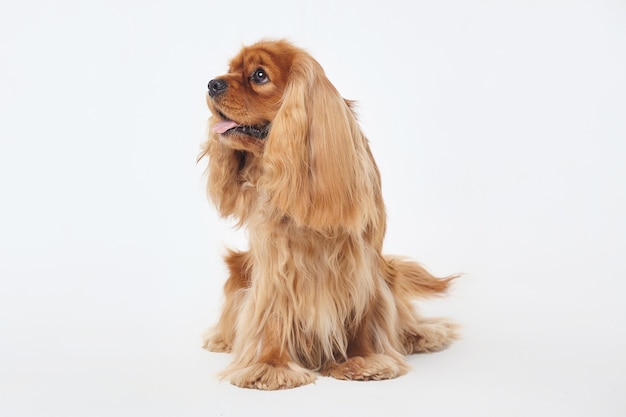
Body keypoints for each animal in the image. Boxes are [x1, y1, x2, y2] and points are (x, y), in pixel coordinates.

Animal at [200, 39, 458, 390]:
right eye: (229, 69)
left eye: (259, 75)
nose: (212, 84)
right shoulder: (275, 265)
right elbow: (272, 315)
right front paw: (269, 365)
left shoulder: (361, 261)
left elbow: (363, 314)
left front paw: (362, 360)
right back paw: (223, 338)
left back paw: (420, 333)